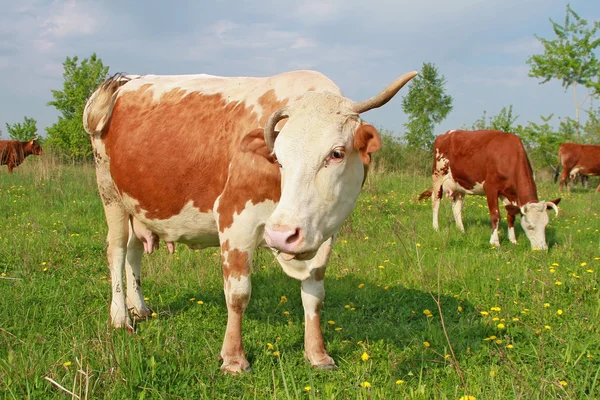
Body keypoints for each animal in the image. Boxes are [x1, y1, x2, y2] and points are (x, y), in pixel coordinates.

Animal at [83, 70, 418, 374]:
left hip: (136, 205)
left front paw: (318, 354)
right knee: (116, 251)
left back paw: (138, 308)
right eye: (278, 158)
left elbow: (314, 296)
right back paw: (120, 318)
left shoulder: (323, 234)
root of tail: (124, 80)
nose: (281, 235)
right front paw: (233, 358)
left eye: (336, 154)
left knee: (134, 250)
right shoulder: (235, 221)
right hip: (110, 194)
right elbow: (238, 294)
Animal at [418, 130, 564, 250]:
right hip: (438, 176)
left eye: (545, 224)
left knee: (457, 206)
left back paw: (462, 231)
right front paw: (495, 242)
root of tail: (446, 134)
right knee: (436, 202)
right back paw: (436, 228)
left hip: (459, 184)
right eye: (529, 226)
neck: (508, 157)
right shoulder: (491, 188)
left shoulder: (510, 193)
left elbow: (511, 216)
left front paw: (513, 241)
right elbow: (495, 215)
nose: (543, 249)